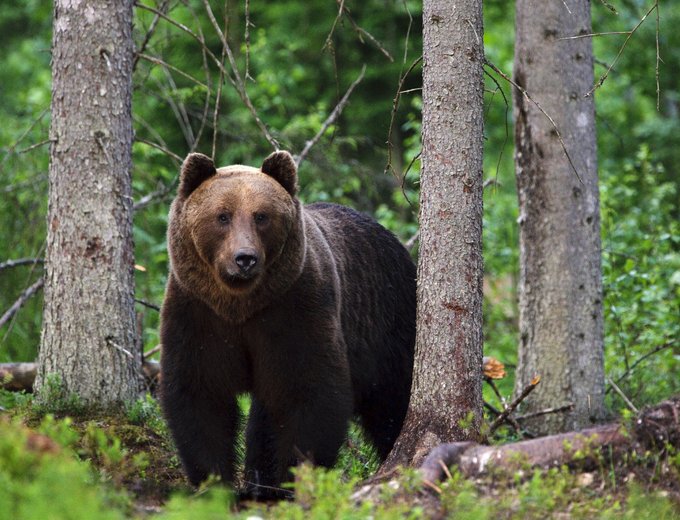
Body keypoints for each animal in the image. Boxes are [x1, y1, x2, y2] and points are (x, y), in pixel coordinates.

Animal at [159, 150, 414, 500]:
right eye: (222, 216)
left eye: (261, 216)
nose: (245, 258)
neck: (240, 304)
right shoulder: (198, 312)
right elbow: (200, 392)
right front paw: (213, 482)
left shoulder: (295, 309)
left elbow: (308, 392)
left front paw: (293, 479)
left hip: (387, 322)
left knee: (392, 399)